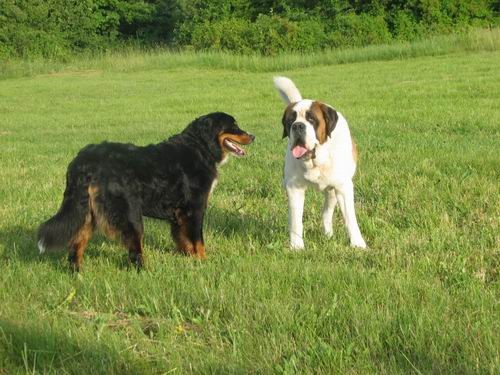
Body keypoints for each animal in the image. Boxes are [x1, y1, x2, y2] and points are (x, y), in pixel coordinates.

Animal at [37, 111, 254, 270]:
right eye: (233, 125)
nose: (252, 136)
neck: (200, 147)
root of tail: (84, 160)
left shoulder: (179, 213)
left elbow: (183, 240)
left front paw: (188, 259)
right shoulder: (195, 208)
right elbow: (197, 239)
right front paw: (203, 261)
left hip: (86, 213)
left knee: (76, 245)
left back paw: (77, 272)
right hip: (130, 214)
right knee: (135, 251)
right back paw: (145, 271)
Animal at [274, 76, 368, 251]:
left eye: (312, 119)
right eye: (290, 120)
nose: (298, 126)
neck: (315, 162)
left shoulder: (343, 187)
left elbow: (350, 218)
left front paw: (358, 243)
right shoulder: (294, 188)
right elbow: (296, 220)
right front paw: (296, 246)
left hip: (332, 190)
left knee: (326, 212)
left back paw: (328, 235)